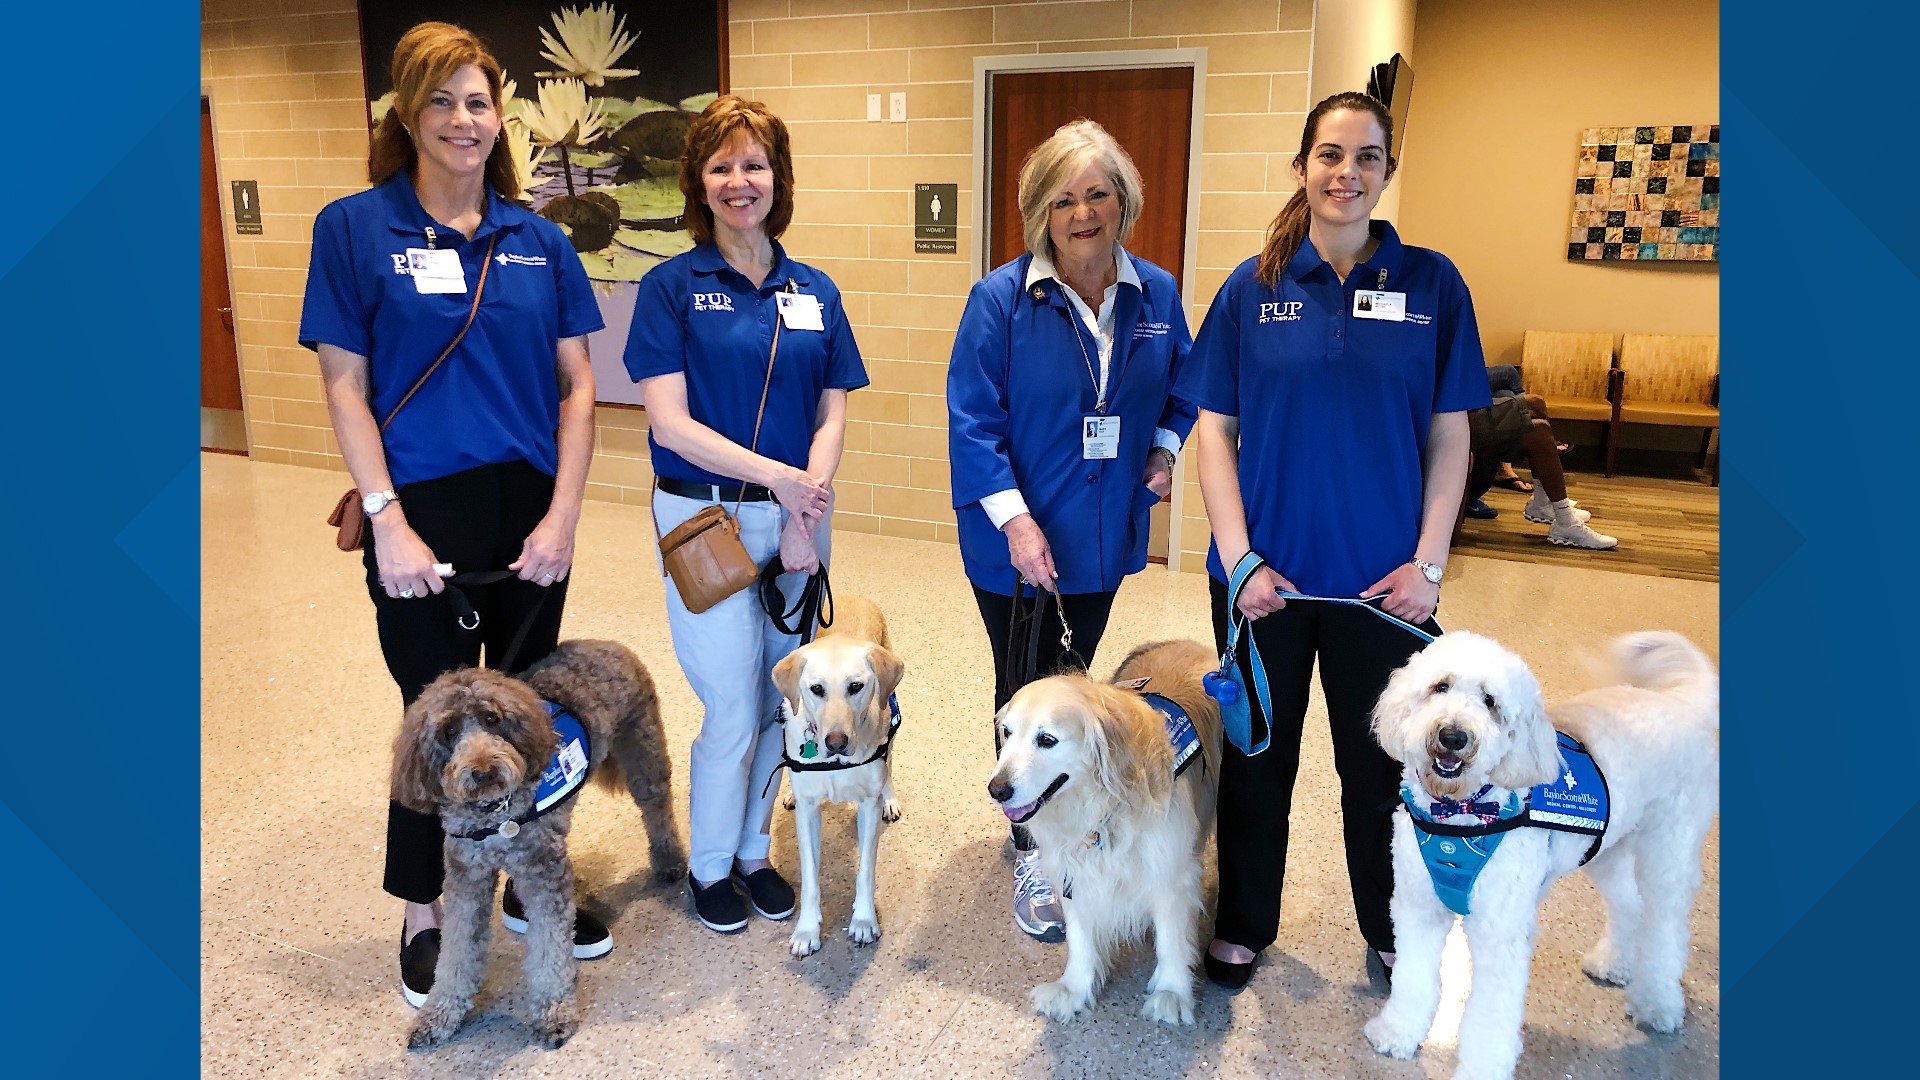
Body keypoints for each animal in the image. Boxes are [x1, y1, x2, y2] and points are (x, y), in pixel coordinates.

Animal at [393, 638, 687, 1045]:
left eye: (491, 719)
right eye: (450, 731)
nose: (483, 771)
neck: (496, 814)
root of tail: (608, 644)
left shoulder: (543, 869)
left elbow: (549, 951)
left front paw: (553, 1012)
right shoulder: (466, 879)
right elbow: (455, 955)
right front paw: (439, 1015)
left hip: (644, 752)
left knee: (658, 810)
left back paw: (671, 862)